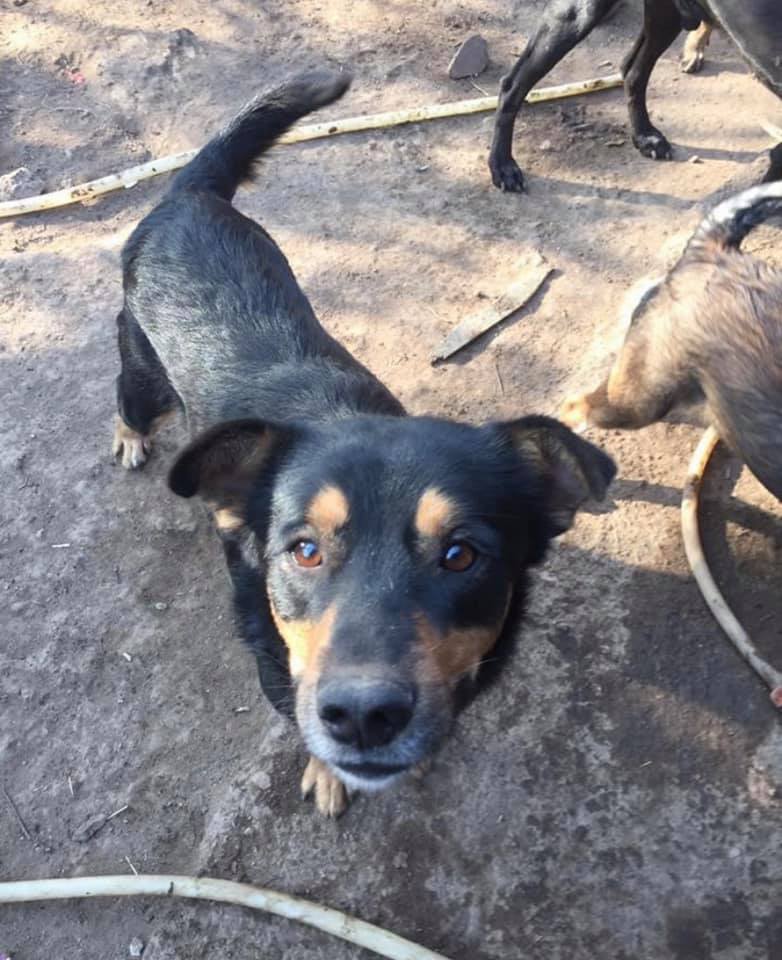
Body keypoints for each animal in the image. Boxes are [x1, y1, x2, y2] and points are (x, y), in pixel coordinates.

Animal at [115, 69, 620, 816]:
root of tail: (189, 192)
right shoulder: (276, 666)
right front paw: (330, 773)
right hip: (145, 373)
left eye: (462, 555)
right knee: (127, 394)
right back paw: (127, 436)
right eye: (303, 550)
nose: (362, 717)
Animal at [490, 0, 782, 193]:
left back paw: (644, 135)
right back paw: (502, 165)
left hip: (666, 16)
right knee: (513, 84)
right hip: (576, 15)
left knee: (632, 72)